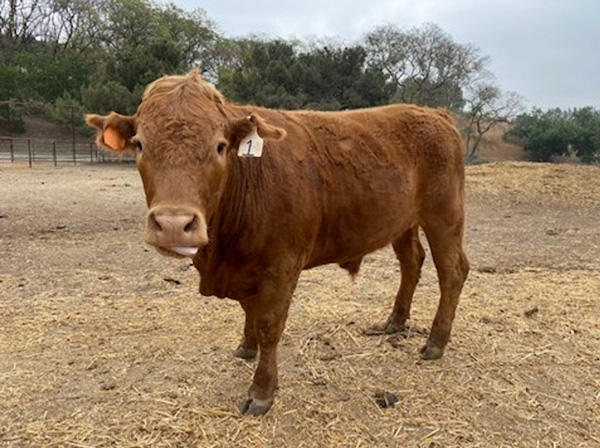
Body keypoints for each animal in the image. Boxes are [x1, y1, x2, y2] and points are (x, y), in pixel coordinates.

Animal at [85, 70, 468, 416]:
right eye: (140, 144)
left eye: (219, 146)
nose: (174, 224)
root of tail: (435, 113)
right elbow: (249, 312)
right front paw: (245, 347)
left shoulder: (282, 266)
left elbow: (269, 325)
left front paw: (261, 392)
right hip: (403, 223)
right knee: (412, 263)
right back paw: (395, 322)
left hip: (444, 216)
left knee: (453, 271)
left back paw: (435, 344)